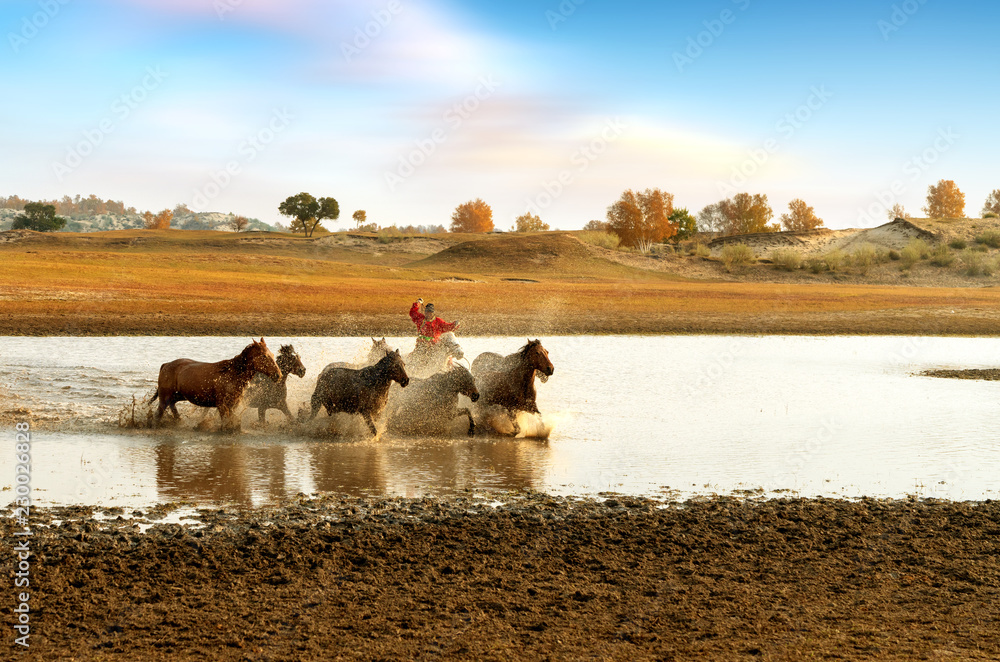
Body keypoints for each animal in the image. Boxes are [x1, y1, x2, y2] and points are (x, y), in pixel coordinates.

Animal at [149, 340, 282, 434]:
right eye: (264, 356)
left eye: (272, 354)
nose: (278, 375)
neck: (232, 374)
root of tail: (166, 365)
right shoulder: (222, 405)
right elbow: (225, 423)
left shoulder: (233, 404)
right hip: (164, 397)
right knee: (159, 414)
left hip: (178, 396)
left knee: (172, 406)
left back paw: (178, 421)